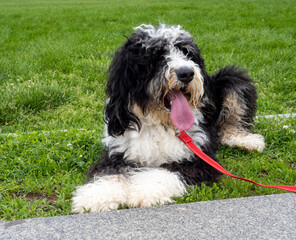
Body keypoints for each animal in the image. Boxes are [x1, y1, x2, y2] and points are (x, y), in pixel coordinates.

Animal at [71, 23, 266, 213]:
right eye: (156, 55)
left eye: (186, 52)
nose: (186, 73)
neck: (161, 123)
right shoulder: (118, 153)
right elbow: (108, 174)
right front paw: (96, 197)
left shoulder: (196, 159)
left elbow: (164, 173)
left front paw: (143, 192)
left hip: (232, 79)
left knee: (230, 125)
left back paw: (247, 141)